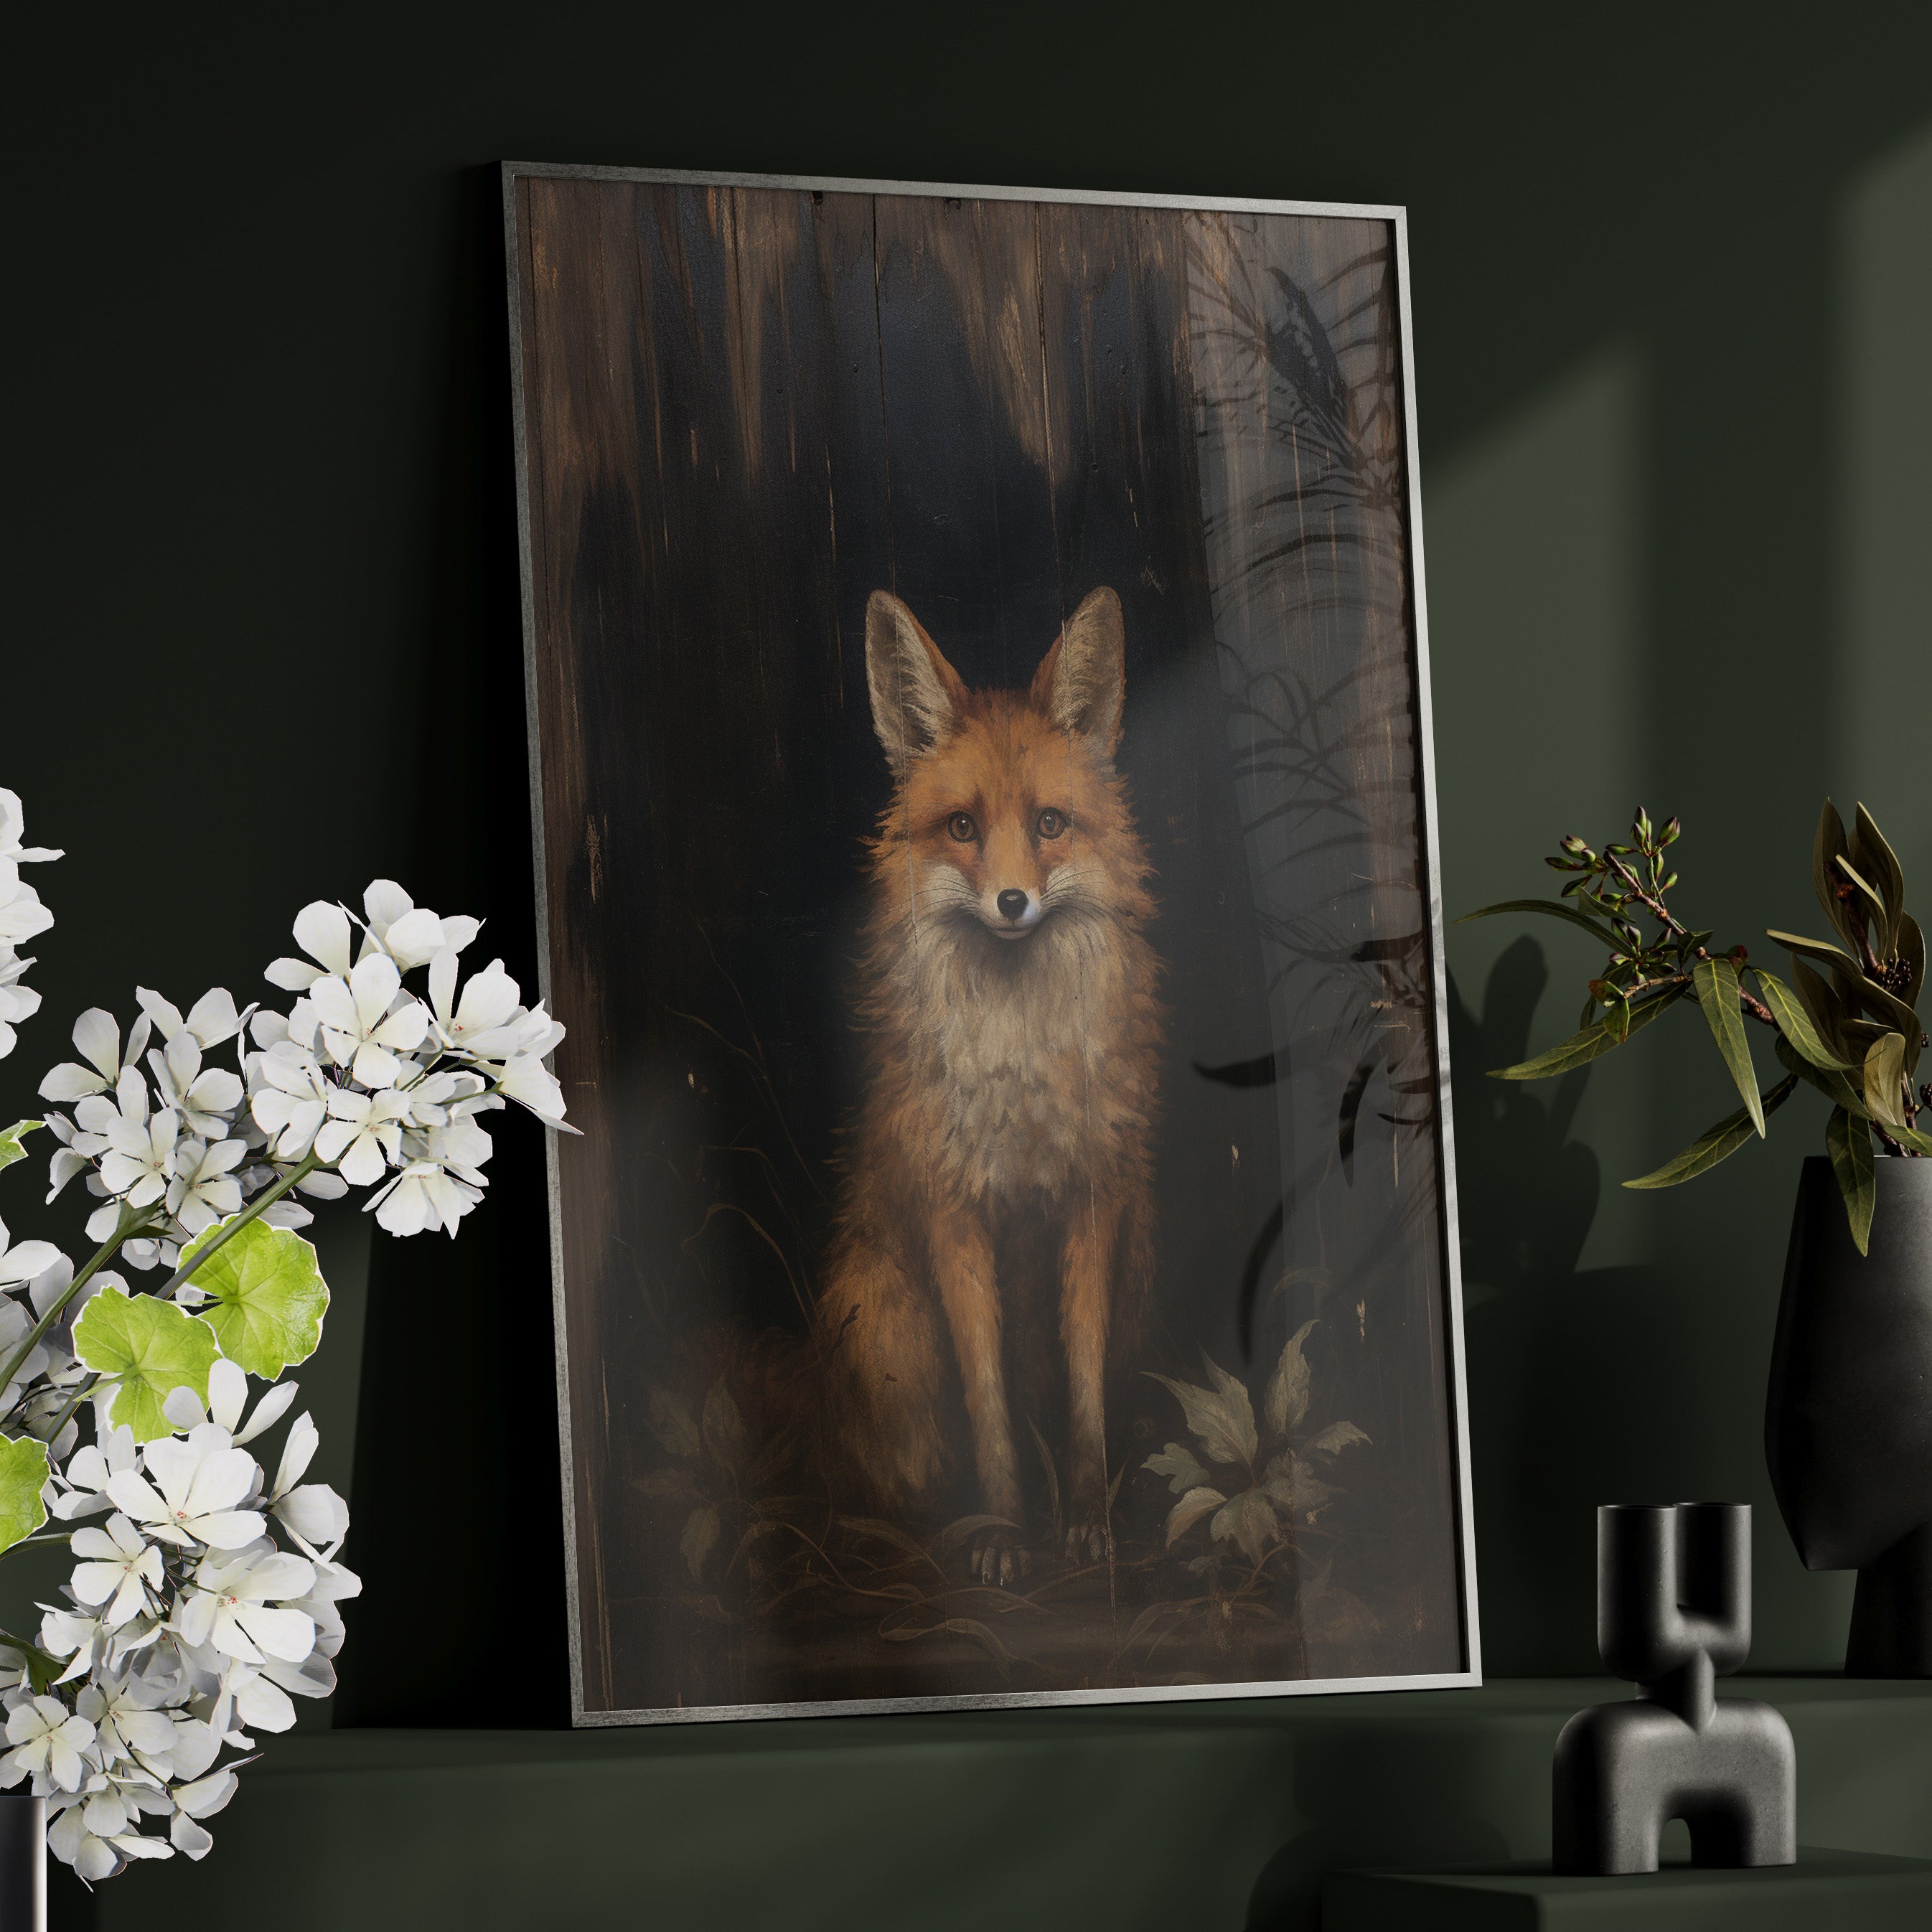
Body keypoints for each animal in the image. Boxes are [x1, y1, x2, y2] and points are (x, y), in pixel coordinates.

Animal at [816, 586, 1164, 1586]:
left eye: (1049, 823)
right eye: (963, 828)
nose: (1013, 903)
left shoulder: (1093, 1200)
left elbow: (1083, 1390)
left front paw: (1086, 1524)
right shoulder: (952, 1214)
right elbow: (988, 1405)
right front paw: (1006, 1531)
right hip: (883, 1319)